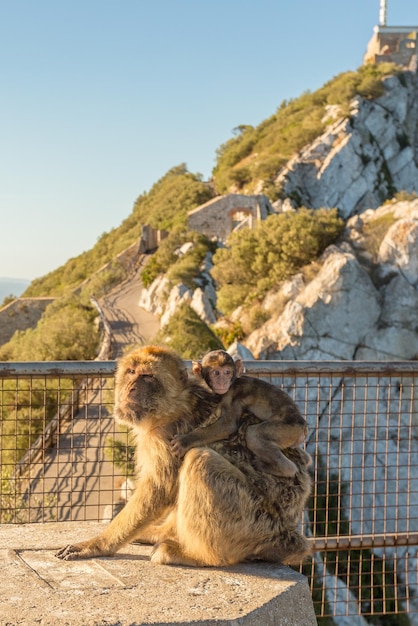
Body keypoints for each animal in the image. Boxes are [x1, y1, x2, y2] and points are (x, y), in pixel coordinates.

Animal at [170, 348, 310, 476]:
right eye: (216, 372)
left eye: (227, 372)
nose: (222, 381)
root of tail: (304, 427)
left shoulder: (231, 395)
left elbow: (228, 425)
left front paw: (186, 440)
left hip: (289, 428)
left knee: (254, 434)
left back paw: (281, 469)